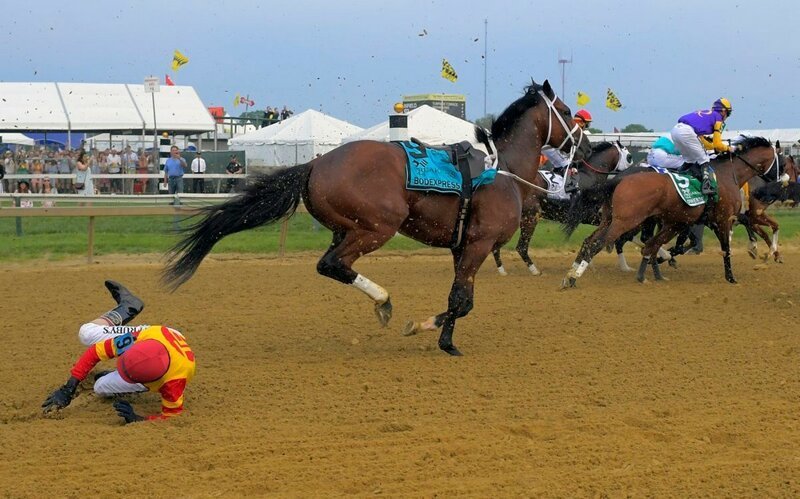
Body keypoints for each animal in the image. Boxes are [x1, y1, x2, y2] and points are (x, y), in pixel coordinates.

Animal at [162, 80, 592, 356]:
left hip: (345, 227)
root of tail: (316, 162)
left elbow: (461, 299)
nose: (587, 144)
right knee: (333, 264)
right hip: (377, 227)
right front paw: (426, 328)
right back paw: (383, 302)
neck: (502, 170)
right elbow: (460, 301)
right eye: (567, 112)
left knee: (331, 264)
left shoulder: (462, 247)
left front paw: (445, 339)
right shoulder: (478, 245)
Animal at [488, 140, 632, 278]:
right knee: (521, 247)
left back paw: (502, 270)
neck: (590, 176)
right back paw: (535, 271)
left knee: (497, 245)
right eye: (629, 156)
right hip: (531, 216)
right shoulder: (588, 214)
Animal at [560, 136, 780, 290]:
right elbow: (726, 248)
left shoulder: (683, 221)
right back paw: (573, 277)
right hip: (625, 221)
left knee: (590, 241)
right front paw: (732, 276)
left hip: (610, 219)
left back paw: (573, 272)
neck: (727, 174)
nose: (777, 184)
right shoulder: (722, 219)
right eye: (783, 161)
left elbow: (658, 244)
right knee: (600, 243)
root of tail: (619, 179)